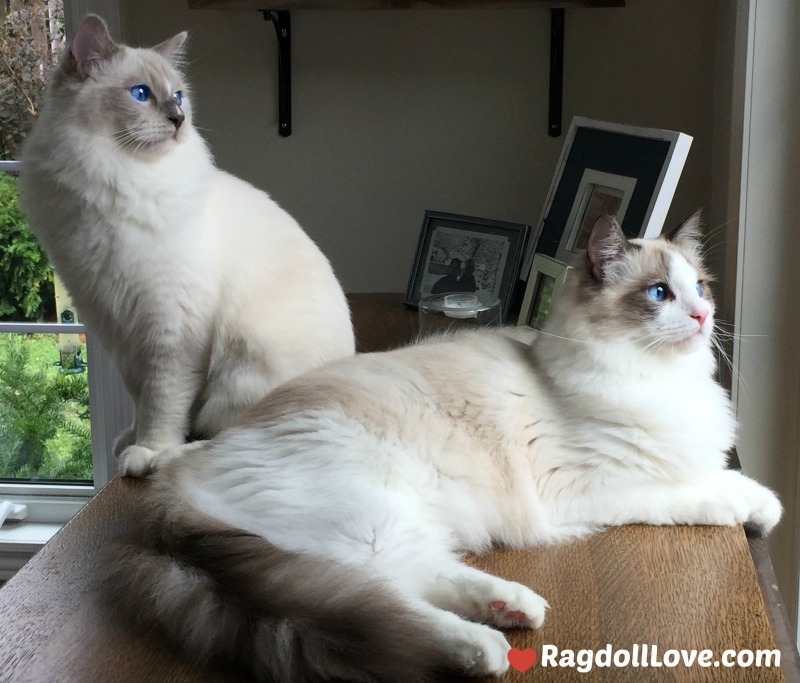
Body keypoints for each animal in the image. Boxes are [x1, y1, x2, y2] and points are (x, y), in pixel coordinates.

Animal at [15, 16, 352, 476]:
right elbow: (142, 398)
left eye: (177, 96)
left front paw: (146, 451)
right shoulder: (115, 326)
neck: (117, 178)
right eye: (140, 94)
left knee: (227, 436)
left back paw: (168, 456)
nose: (178, 119)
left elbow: (163, 401)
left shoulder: (169, 329)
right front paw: (132, 439)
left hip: (242, 373)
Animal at [103, 212, 784, 680]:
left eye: (701, 288)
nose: (702, 318)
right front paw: (752, 507)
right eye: (659, 294)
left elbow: (727, 476)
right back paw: (487, 646)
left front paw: (763, 504)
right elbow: (696, 490)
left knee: (402, 582)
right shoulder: (600, 484)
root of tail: (177, 480)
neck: (658, 381)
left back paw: (512, 611)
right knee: (384, 593)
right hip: (371, 517)